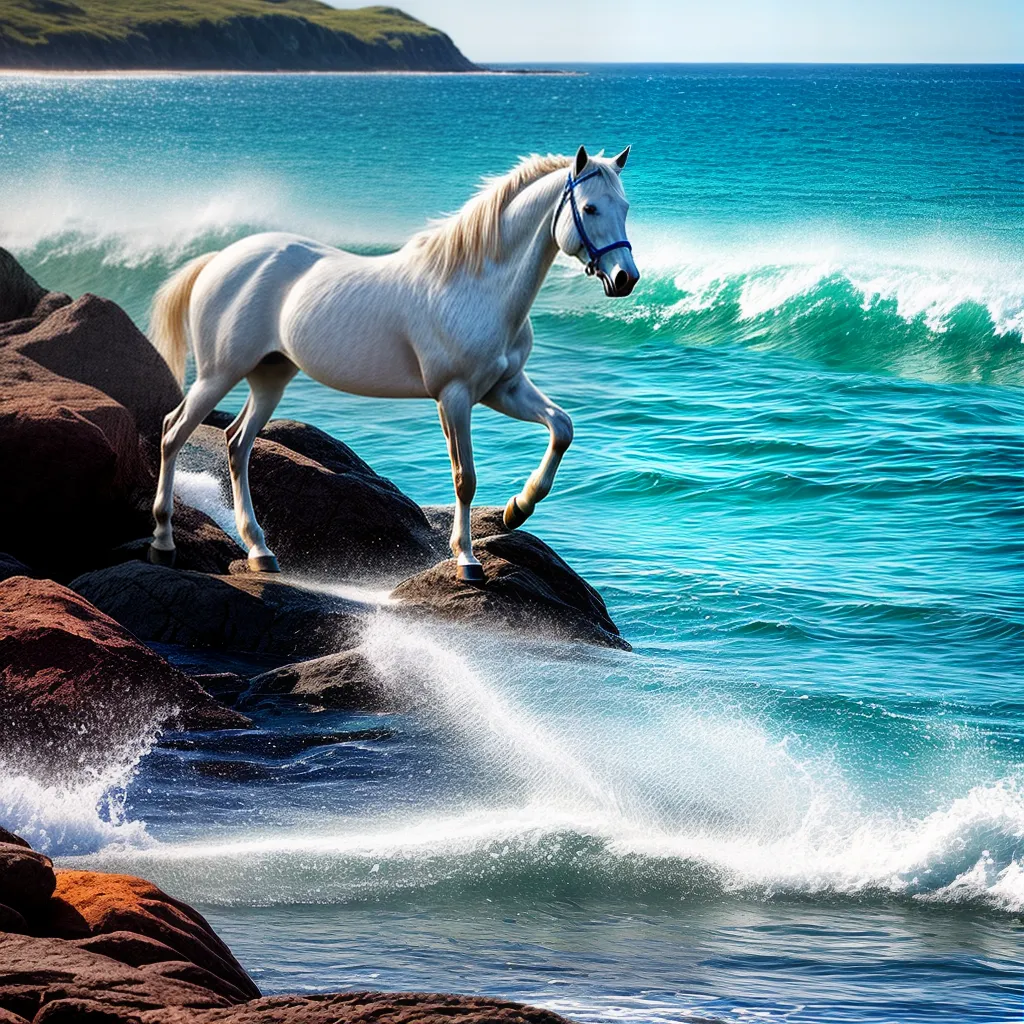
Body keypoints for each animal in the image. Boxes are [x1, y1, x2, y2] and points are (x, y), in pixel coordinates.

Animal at [148, 144, 639, 583]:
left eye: (625, 206)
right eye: (590, 207)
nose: (625, 279)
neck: (475, 286)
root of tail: (220, 259)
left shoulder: (504, 387)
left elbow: (562, 428)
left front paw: (519, 508)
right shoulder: (454, 396)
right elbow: (465, 478)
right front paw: (467, 563)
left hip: (270, 376)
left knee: (236, 443)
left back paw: (260, 552)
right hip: (219, 373)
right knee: (173, 431)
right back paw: (164, 543)